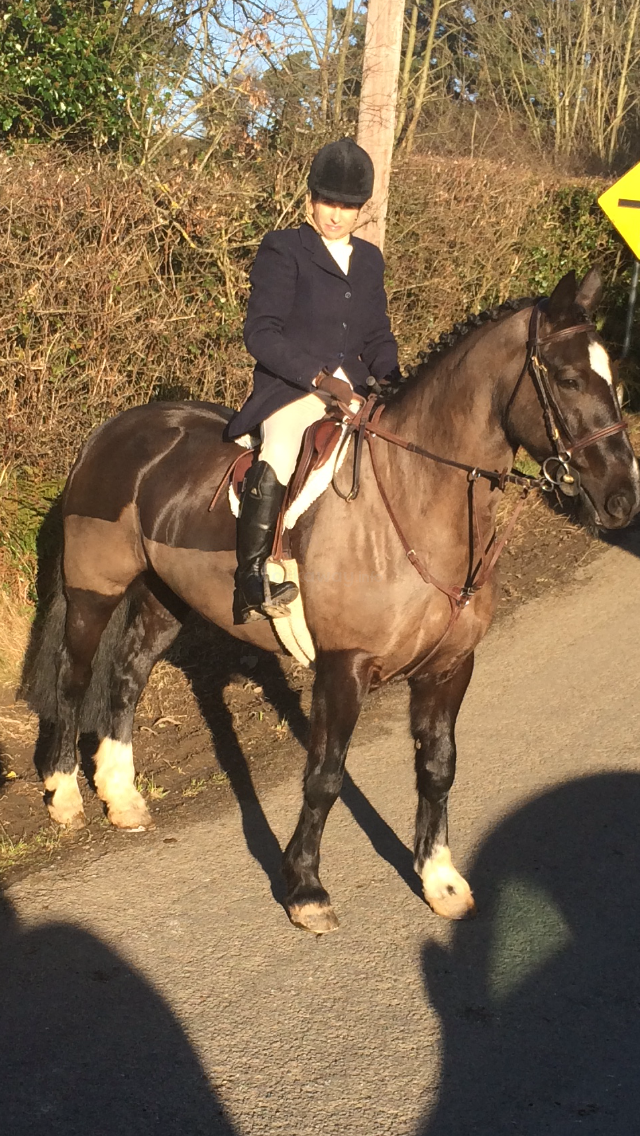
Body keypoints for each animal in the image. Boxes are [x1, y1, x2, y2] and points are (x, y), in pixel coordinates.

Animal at [25, 267, 639, 934]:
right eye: (570, 379)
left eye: (613, 376)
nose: (623, 499)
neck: (416, 498)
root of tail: (114, 429)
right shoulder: (345, 666)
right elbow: (324, 776)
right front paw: (306, 890)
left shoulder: (450, 666)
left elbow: (438, 766)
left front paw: (440, 880)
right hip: (94, 589)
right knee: (74, 677)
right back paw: (64, 796)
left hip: (166, 598)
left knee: (129, 674)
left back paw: (122, 797)